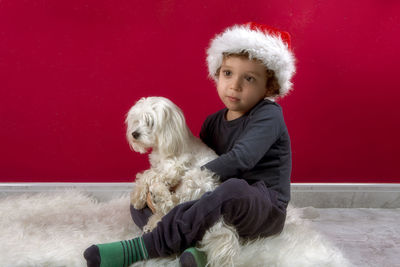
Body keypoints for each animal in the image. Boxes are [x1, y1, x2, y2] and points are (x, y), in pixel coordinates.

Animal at [125, 97, 241, 267]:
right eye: (137, 120)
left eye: (150, 122)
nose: (134, 134)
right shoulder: (161, 167)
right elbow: (147, 175)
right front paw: (139, 197)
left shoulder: (174, 168)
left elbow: (150, 176)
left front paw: (143, 195)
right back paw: (153, 220)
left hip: (196, 176)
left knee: (173, 206)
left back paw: (160, 199)